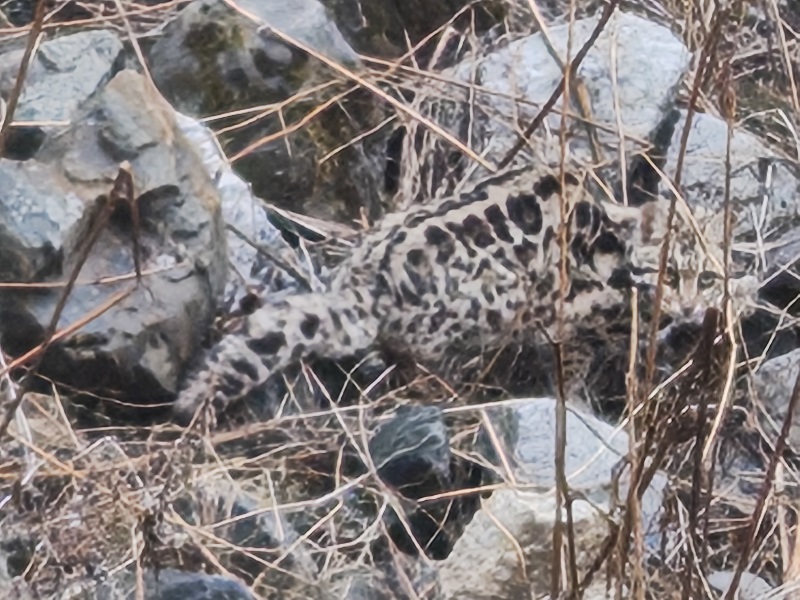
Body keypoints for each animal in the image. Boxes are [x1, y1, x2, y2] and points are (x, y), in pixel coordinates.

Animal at [172, 167, 750, 425]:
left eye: (709, 278)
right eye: (671, 274)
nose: (691, 307)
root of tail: (363, 282)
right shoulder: (570, 320)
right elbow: (572, 371)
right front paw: (589, 404)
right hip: (497, 303)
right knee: (428, 365)